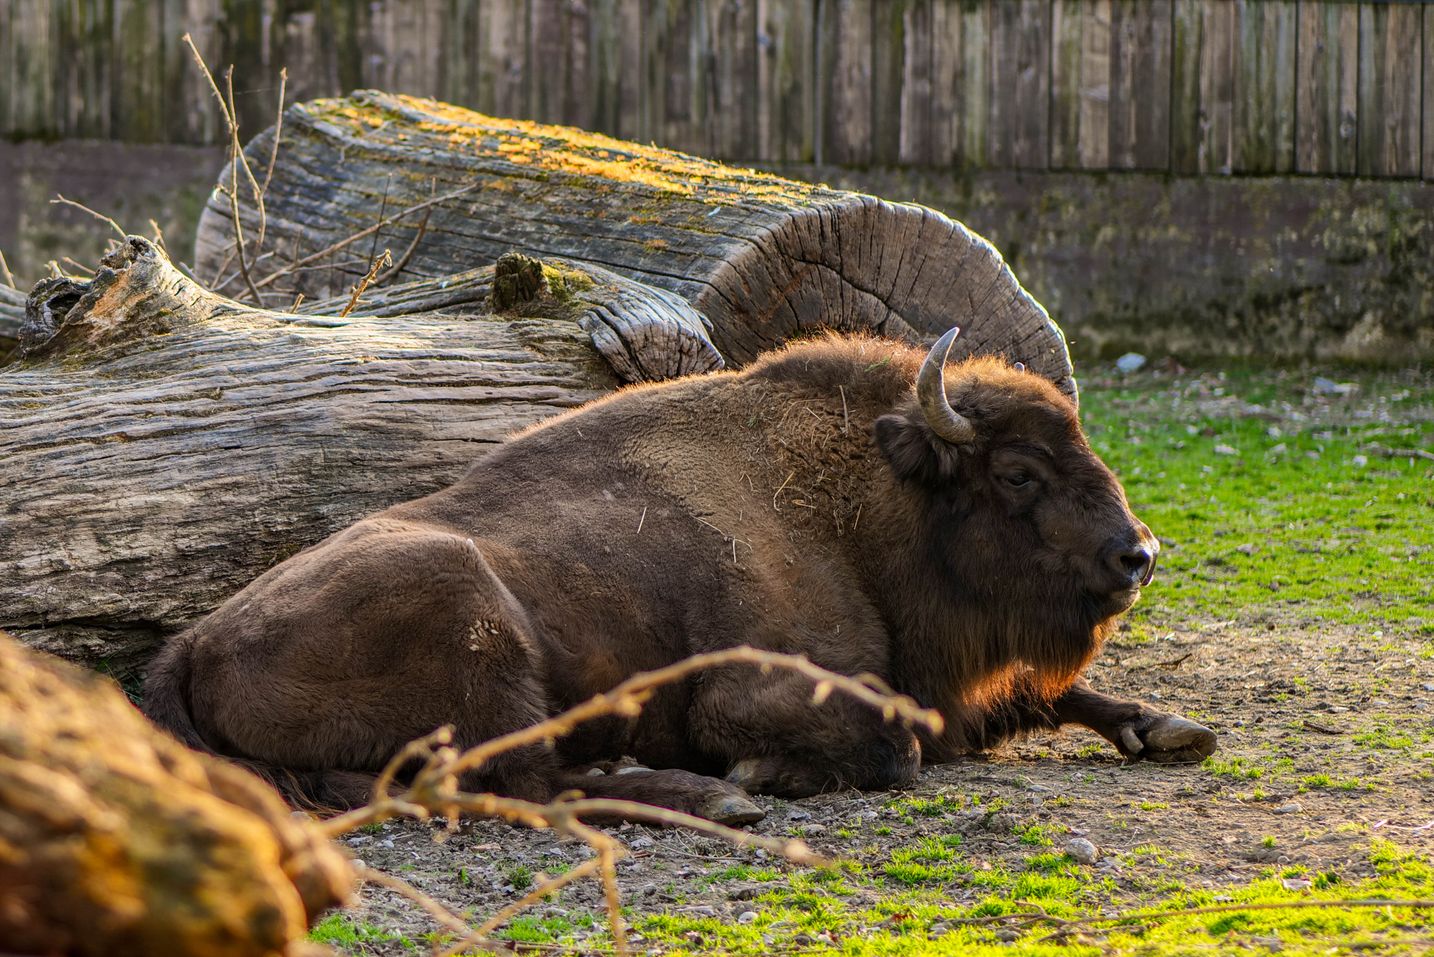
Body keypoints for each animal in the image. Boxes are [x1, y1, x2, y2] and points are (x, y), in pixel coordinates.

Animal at [143, 328, 1216, 824]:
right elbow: (894, 745)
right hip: (473, 617)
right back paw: (703, 795)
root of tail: (191, 645)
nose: (1139, 554)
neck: (860, 506)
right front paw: (756, 775)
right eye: (1019, 471)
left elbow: (1043, 693)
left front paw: (1171, 727)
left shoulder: (956, 686)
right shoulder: (748, 689)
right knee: (524, 779)